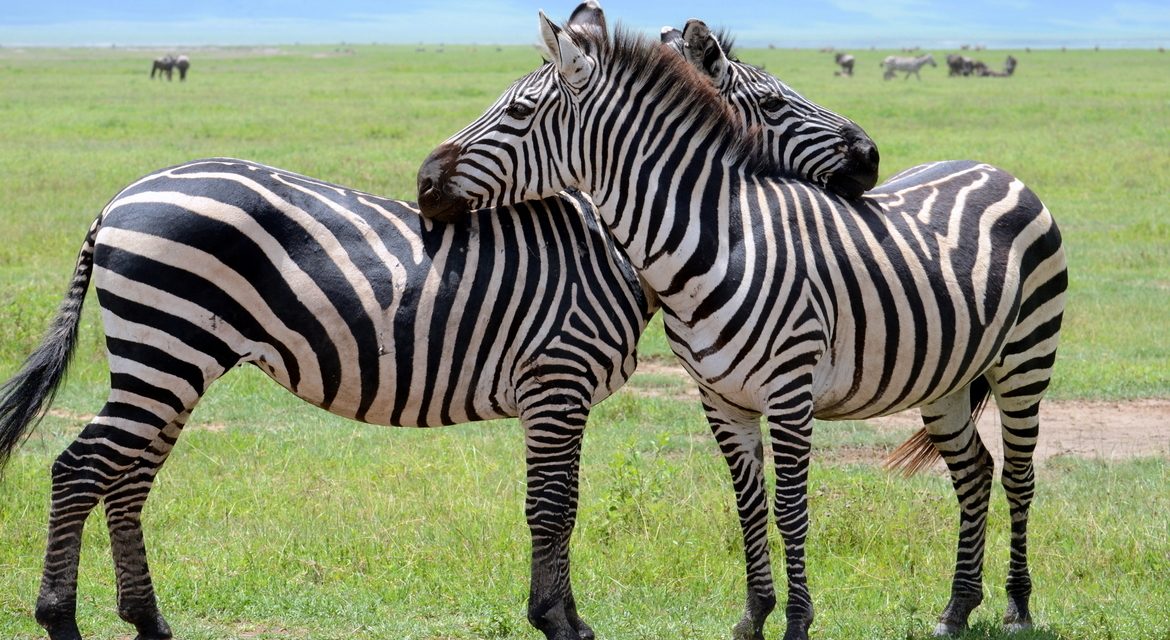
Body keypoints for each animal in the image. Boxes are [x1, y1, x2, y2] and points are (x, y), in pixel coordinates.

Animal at [0, 7, 881, 640]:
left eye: (519, 107)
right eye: (772, 101)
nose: (872, 156)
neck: (612, 246)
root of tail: (120, 199)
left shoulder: (559, 395)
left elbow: (563, 502)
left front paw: (562, 615)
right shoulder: (556, 382)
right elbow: (552, 505)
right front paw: (558, 623)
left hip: (173, 359)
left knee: (126, 478)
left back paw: (149, 622)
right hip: (165, 348)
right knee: (80, 469)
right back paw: (60, 620)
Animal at [416, 13, 1066, 640]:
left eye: (518, 112)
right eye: (773, 101)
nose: (424, 182)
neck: (718, 242)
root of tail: (990, 167)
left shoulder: (790, 391)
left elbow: (791, 508)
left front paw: (799, 623)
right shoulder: (719, 398)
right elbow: (749, 506)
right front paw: (754, 616)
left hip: (1025, 359)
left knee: (1019, 475)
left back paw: (1017, 608)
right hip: (948, 379)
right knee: (975, 474)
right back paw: (957, 609)